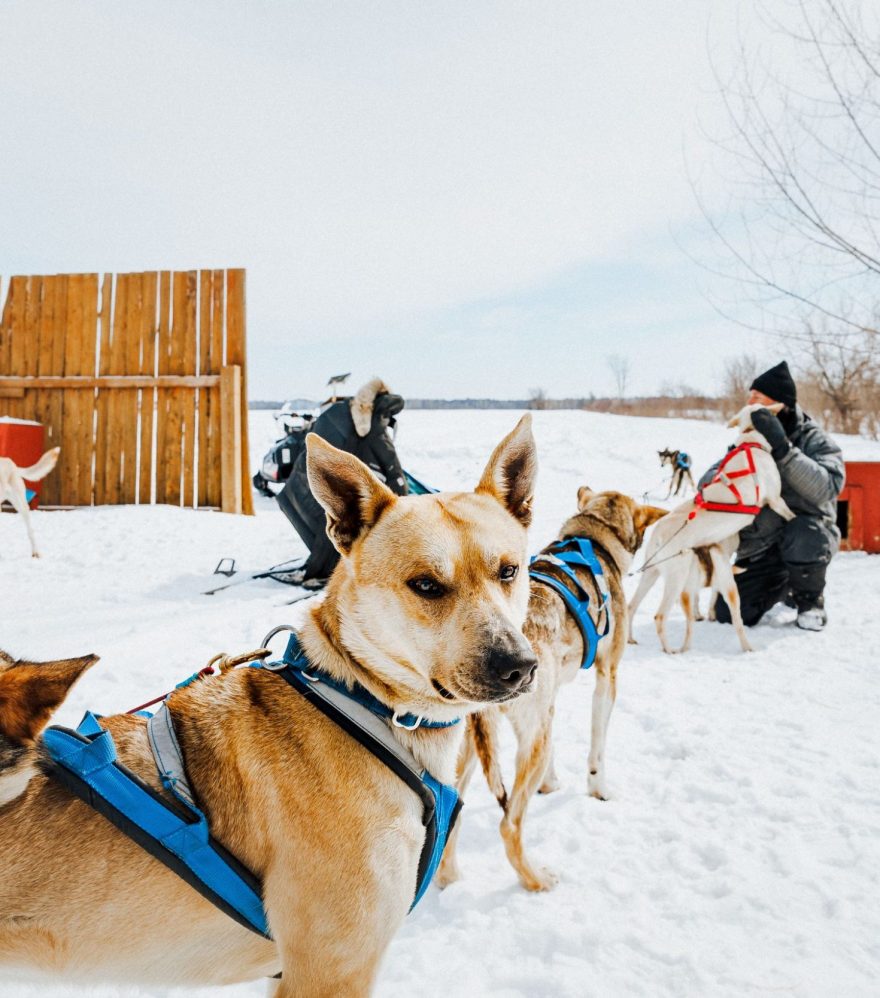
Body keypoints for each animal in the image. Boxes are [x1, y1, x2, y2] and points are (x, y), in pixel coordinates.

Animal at [436, 488, 664, 896]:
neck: (592, 540)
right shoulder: (608, 676)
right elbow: (597, 748)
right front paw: (598, 788)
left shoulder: (549, 706)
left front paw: (551, 783)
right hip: (522, 749)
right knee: (509, 824)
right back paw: (534, 879)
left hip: (468, 748)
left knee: (454, 813)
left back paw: (450, 878)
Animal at [628, 406, 796, 656]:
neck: (750, 441)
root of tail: (659, 533)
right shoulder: (776, 500)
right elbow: (788, 513)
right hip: (676, 579)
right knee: (659, 616)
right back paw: (670, 650)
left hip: (652, 573)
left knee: (631, 606)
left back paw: (630, 638)